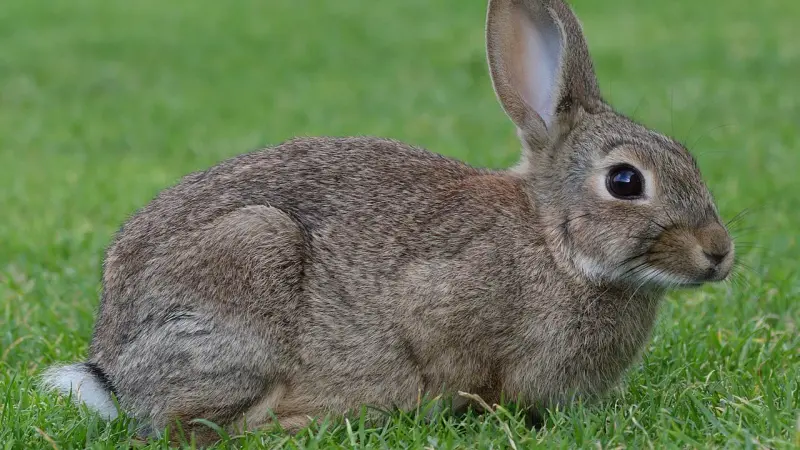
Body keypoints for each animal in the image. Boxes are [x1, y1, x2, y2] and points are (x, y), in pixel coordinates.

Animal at [43, 0, 735, 444]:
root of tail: (113, 369)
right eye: (625, 182)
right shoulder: (439, 306)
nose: (720, 253)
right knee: (192, 426)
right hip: (249, 262)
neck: (556, 244)